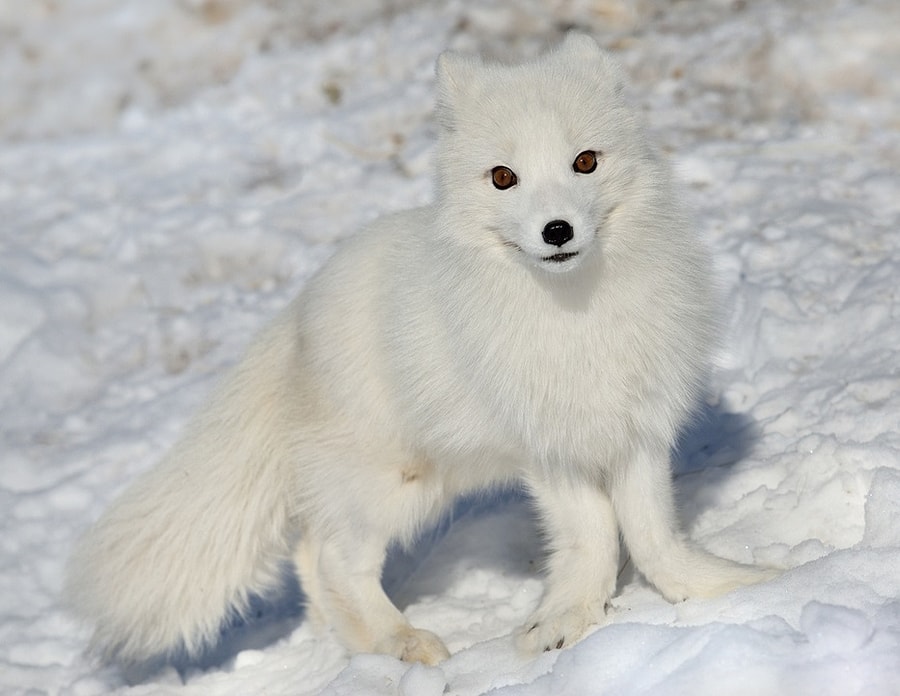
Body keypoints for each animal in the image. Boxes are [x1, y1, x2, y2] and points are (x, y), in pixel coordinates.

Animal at [67, 34, 776, 668]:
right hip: (393, 482)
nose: (557, 230)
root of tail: (293, 316)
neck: (576, 315)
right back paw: (401, 644)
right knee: (332, 557)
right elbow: (592, 533)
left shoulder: (637, 428)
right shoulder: (546, 446)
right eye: (503, 177)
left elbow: (653, 533)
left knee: (309, 555)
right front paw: (564, 622)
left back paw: (356, 647)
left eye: (585, 162)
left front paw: (717, 588)